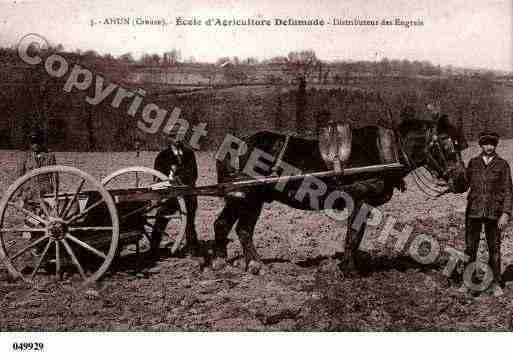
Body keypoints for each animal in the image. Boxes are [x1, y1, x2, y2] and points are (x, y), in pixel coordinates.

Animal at [212, 114, 468, 272]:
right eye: (447, 145)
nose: (462, 181)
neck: (385, 151)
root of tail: (238, 144)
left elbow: (356, 236)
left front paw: (351, 264)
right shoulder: (360, 201)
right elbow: (353, 235)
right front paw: (348, 269)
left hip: (237, 198)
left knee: (222, 224)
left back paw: (220, 262)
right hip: (250, 198)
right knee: (243, 230)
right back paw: (256, 265)